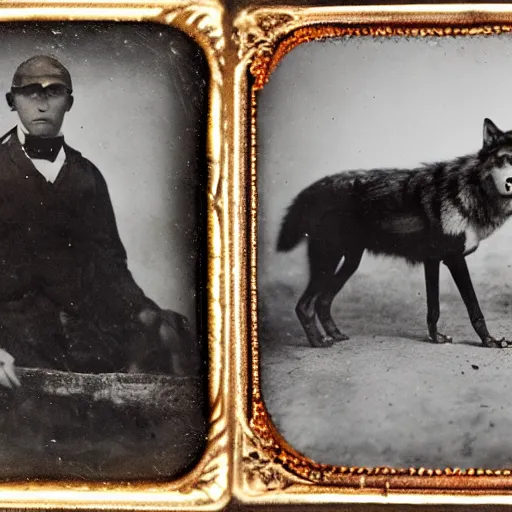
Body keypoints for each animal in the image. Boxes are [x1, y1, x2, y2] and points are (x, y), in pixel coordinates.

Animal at [278, 117, 512, 348]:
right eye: (504, 159)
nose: (510, 182)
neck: (472, 191)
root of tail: (316, 187)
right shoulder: (453, 259)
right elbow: (474, 308)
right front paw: (490, 341)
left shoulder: (433, 261)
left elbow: (434, 309)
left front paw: (435, 338)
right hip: (328, 261)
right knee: (304, 306)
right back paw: (319, 342)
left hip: (349, 262)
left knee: (322, 301)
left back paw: (335, 334)